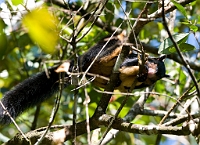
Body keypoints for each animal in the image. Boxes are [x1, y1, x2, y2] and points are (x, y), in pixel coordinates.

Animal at [0, 33, 169, 124]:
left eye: (157, 76)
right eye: (153, 63)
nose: (150, 72)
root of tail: (81, 61)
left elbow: (126, 86)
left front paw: (135, 77)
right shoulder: (135, 59)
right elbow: (128, 62)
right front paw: (139, 67)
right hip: (99, 52)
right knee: (110, 49)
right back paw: (115, 51)